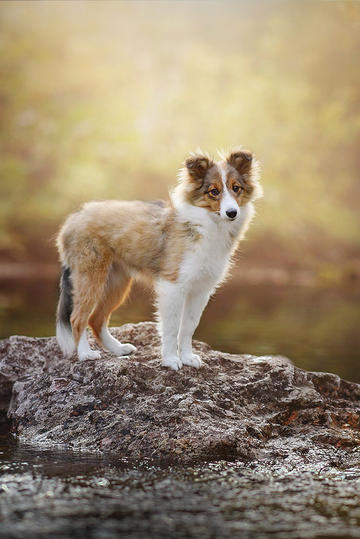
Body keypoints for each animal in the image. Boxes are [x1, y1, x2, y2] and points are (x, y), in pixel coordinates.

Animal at [55, 149, 262, 372]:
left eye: (236, 188)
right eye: (213, 191)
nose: (232, 213)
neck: (208, 224)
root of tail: (73, 218)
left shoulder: (200, 289)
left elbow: (188, 327)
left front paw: (187, 357)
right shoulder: (173, 286)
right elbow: (171, 328)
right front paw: (171, 359)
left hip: (116, 282)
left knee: (96, 319)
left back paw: (118, 349)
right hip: (91, 277)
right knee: (78, 318)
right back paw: (85, 354)